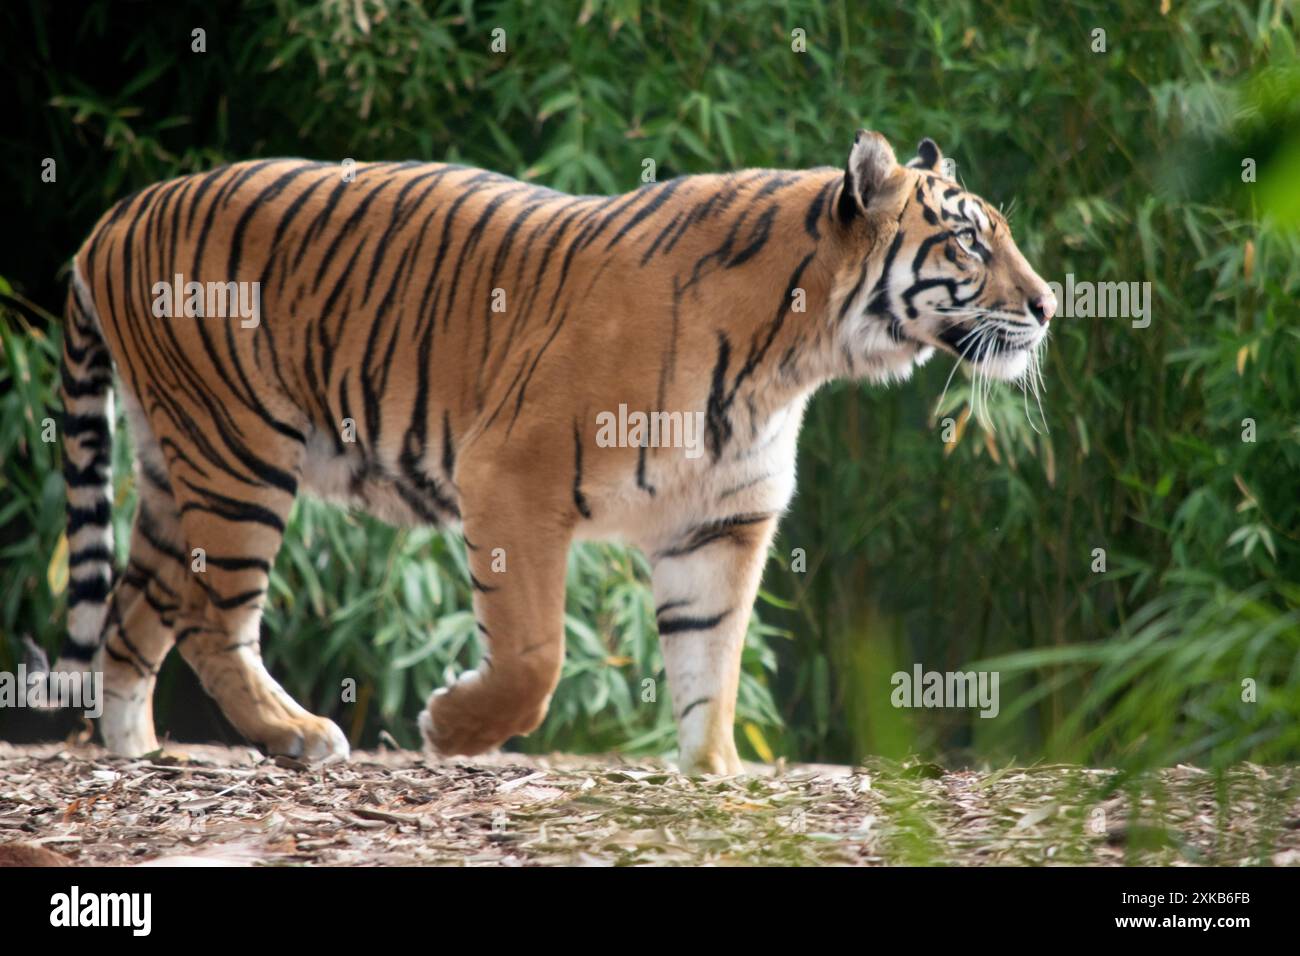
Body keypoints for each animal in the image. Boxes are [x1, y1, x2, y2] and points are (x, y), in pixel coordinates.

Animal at [53, 130, 1055, 775]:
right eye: (970, 240)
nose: (1050, 306)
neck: (797, 357)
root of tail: (111, 218)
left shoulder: (721, 525)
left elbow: (713, 663)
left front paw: (717, 778)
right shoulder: (513, 478)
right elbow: (535, 658)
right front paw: (450, 728)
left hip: (176, 464)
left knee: (131, 619)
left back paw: (137, 756)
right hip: (240, 454)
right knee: (208, 620)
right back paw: (299, 736)